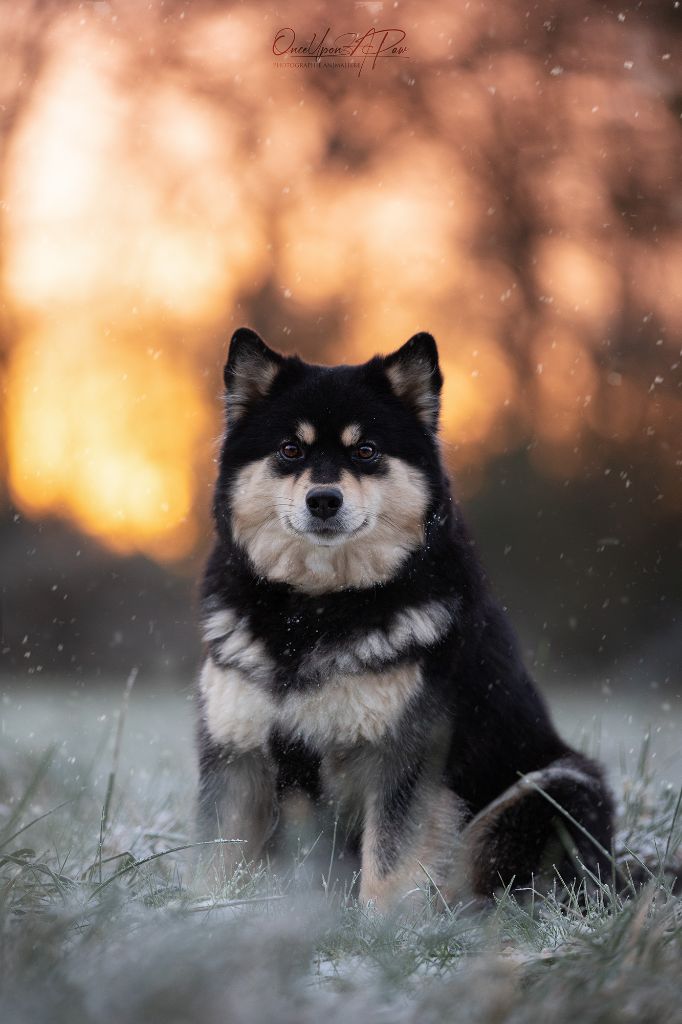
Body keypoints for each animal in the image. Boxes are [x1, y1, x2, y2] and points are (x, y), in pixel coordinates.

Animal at [193, 325, 614, 905]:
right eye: (290, 449)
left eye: (367, 451)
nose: (324, 499)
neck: (315, 608)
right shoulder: (237, 755)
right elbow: (216, 866)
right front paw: (208, 916)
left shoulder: (407, 760)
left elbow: (389, 868)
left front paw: (381, 928)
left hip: (557, 786)